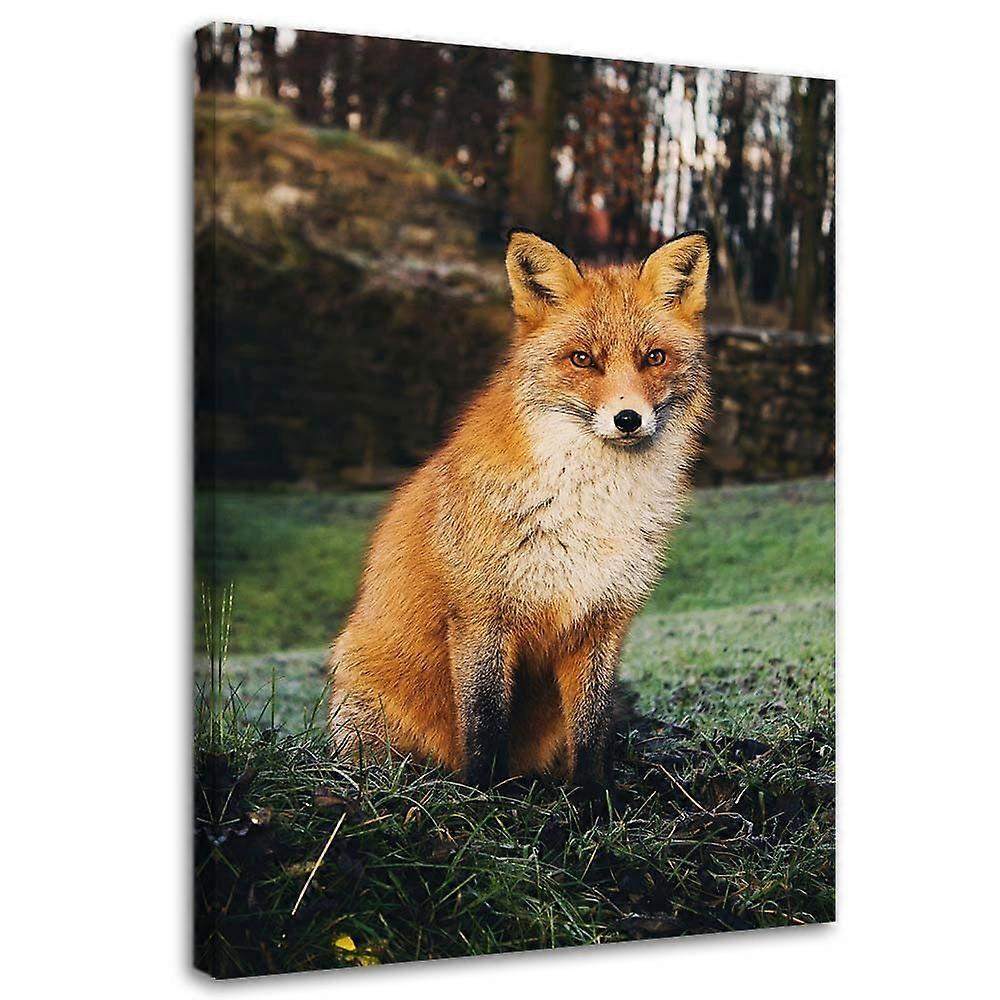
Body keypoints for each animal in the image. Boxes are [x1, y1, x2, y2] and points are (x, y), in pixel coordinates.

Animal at [327, 228, 711, 791]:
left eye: (654, 358)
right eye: (582, 359)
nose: (627, 418)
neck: (589, 507)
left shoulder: (602, 621)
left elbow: (592, 728)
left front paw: (592, 798)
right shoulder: (481, 617)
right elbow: (485, 723)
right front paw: (482, 796)